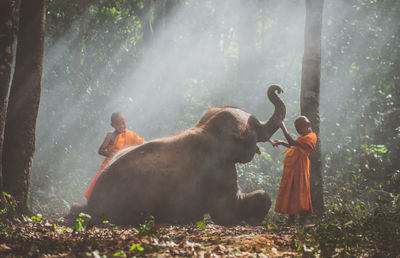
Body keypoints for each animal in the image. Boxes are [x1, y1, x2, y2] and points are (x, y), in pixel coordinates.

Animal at [71, 84, 284, 226]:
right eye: (255, 126)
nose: (277, 89)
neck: (207, 128)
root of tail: (91, 205)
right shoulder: (218, 171)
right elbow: (226, 213)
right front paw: (255, 220)